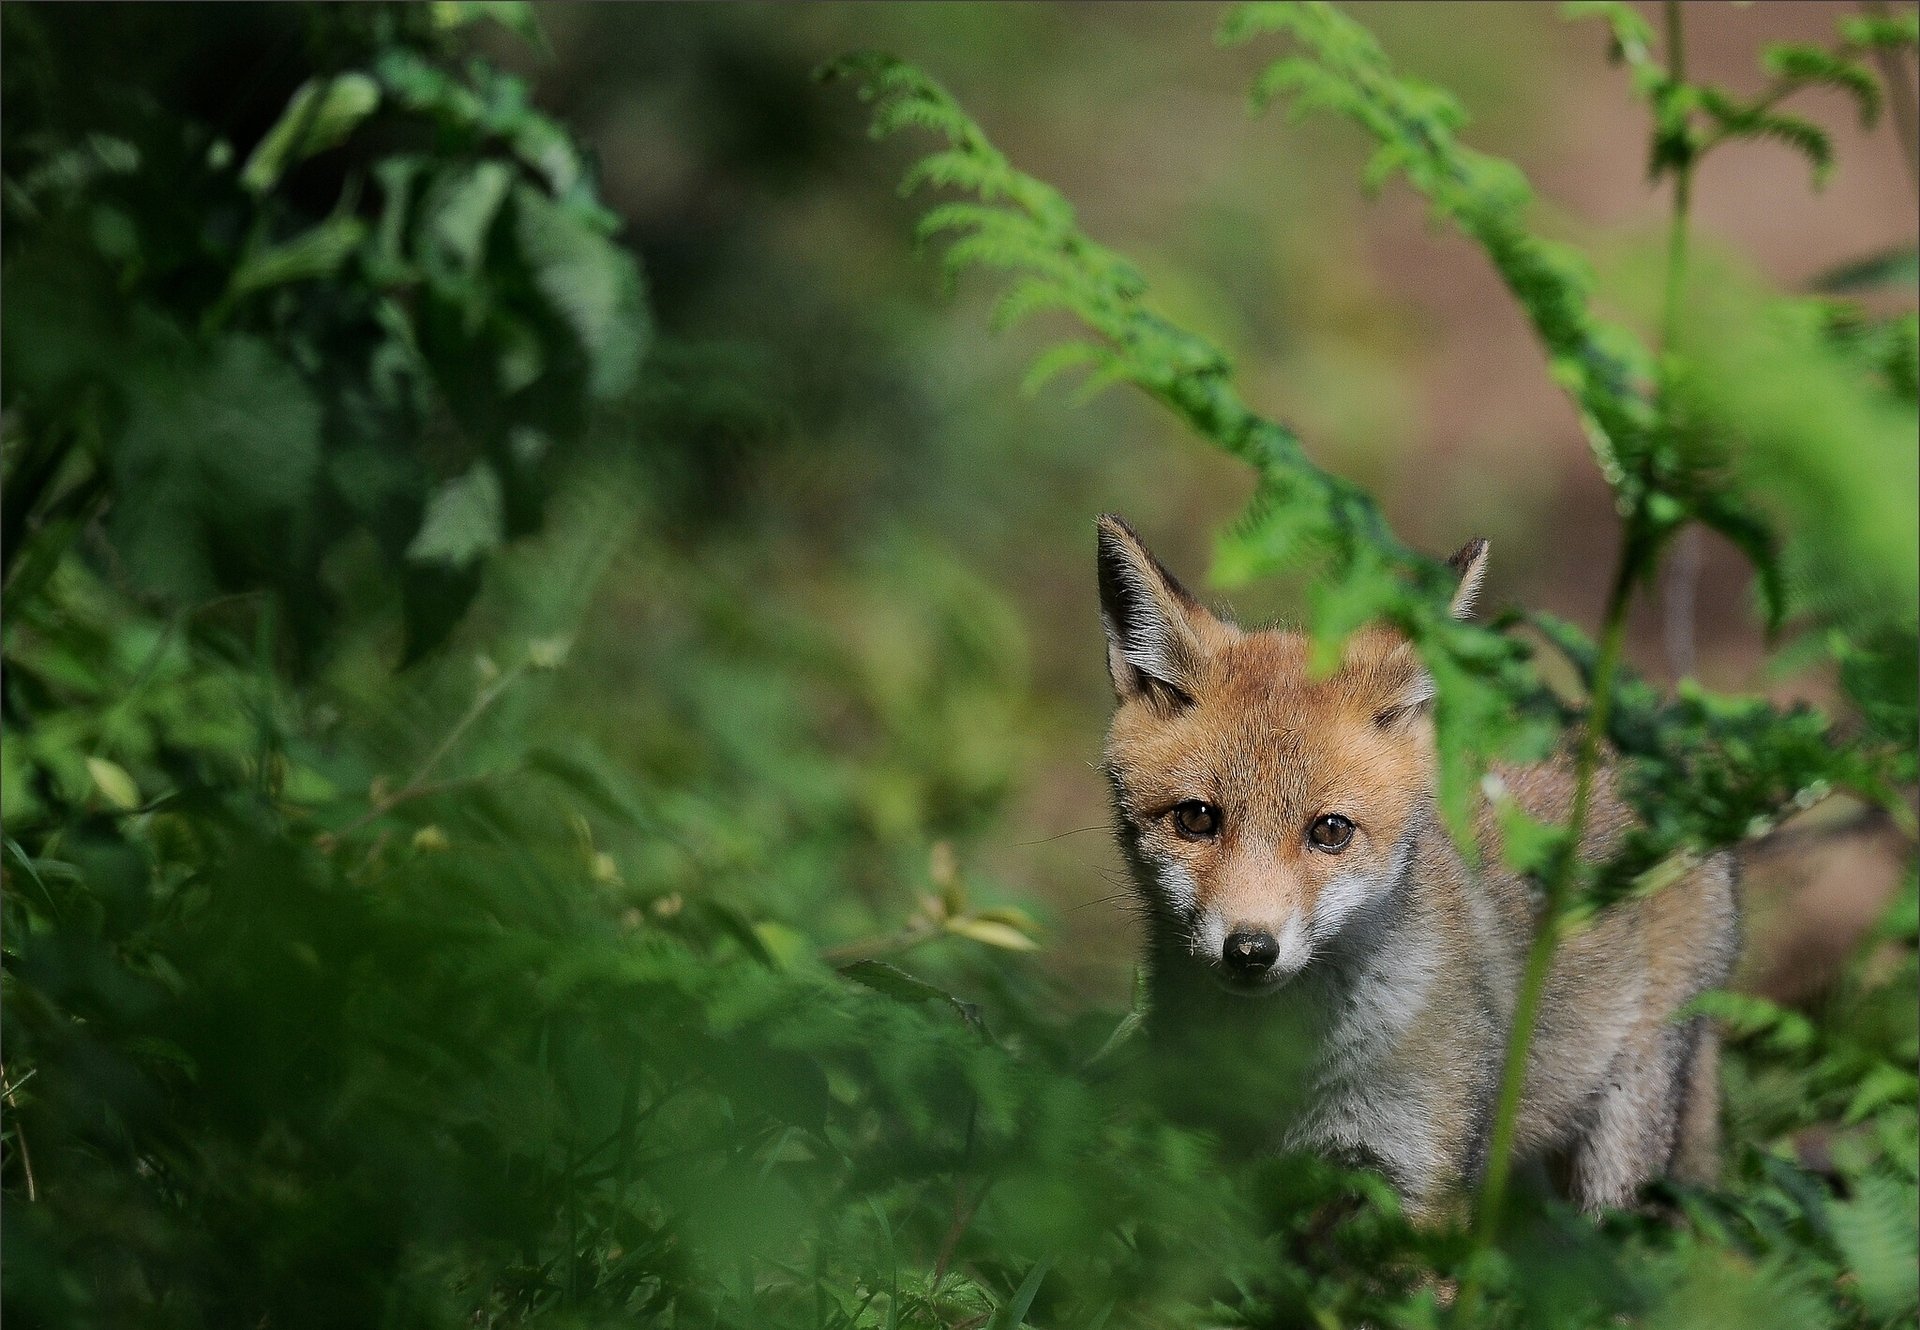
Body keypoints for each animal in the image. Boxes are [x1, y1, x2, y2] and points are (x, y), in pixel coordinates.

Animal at [1095, 513, 1738, 1222]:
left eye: (1330, 831)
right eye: (1196, 819)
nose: (1251, 950)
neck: (1288, 1067)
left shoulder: (1421, 1182)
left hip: (1618, 1149)